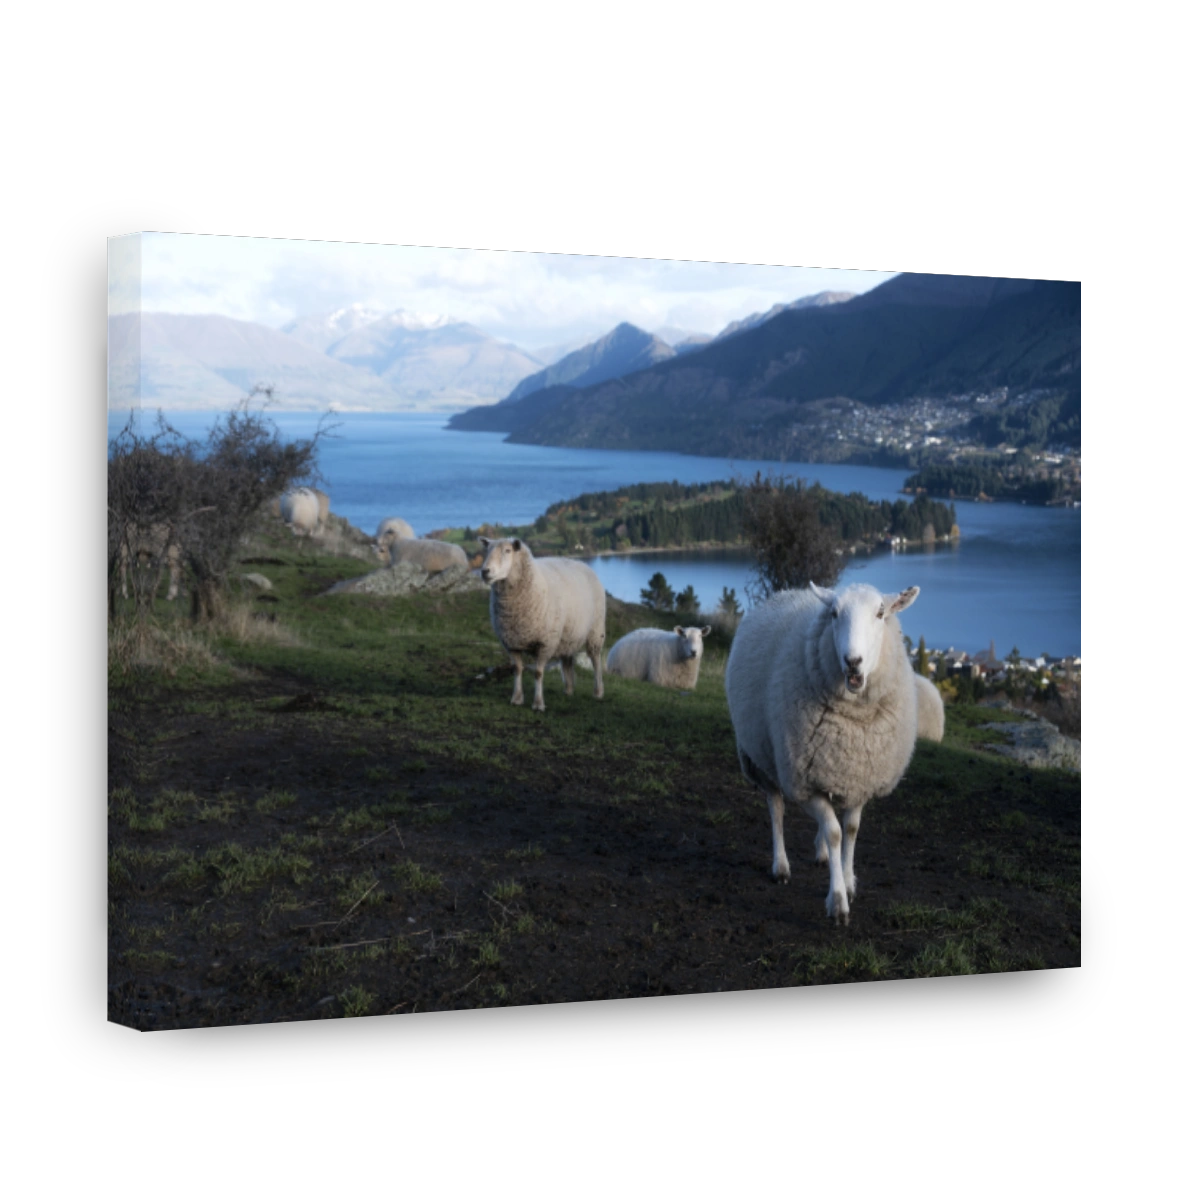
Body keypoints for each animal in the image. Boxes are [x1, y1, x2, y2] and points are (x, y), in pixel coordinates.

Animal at [479, 536, 606, 713]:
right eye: (487, 550)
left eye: (508, 551)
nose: (485, 571)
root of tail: (580, 563)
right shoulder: (511, 643)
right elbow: (517, 669)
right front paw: (516, 698)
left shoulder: (545, 642)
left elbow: (538, 673)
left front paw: (538, 704)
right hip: (568, 634)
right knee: (567, 659)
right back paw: (569, 689)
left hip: (595, 629)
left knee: (595, 659)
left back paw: (598, 691)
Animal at [725, 580, 921, 924]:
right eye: (834, 614)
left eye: (880, 613)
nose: (853, 661)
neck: (854, 723)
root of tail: (788, 591)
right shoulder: (804, 782)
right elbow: (834, 832)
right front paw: (838, 901)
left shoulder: (859, 777)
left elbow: (851, 830)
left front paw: (848, 879)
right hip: (764, 759)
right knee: (776, 808)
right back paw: (781, 866)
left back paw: (822, 856)